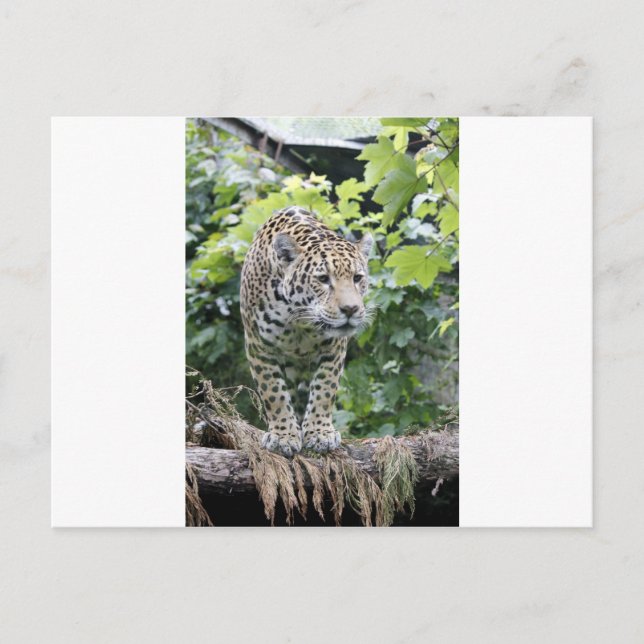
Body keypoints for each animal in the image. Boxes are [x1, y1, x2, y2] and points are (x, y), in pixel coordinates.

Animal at [240, 206, 373, 457]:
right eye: (323, 279)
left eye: (357, 278)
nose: (351, 309)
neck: (300, 319)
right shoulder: (259, 346)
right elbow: (274, 393)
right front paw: (283, 436)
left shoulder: (334, 348)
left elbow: (324, 390)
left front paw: (320, 433)